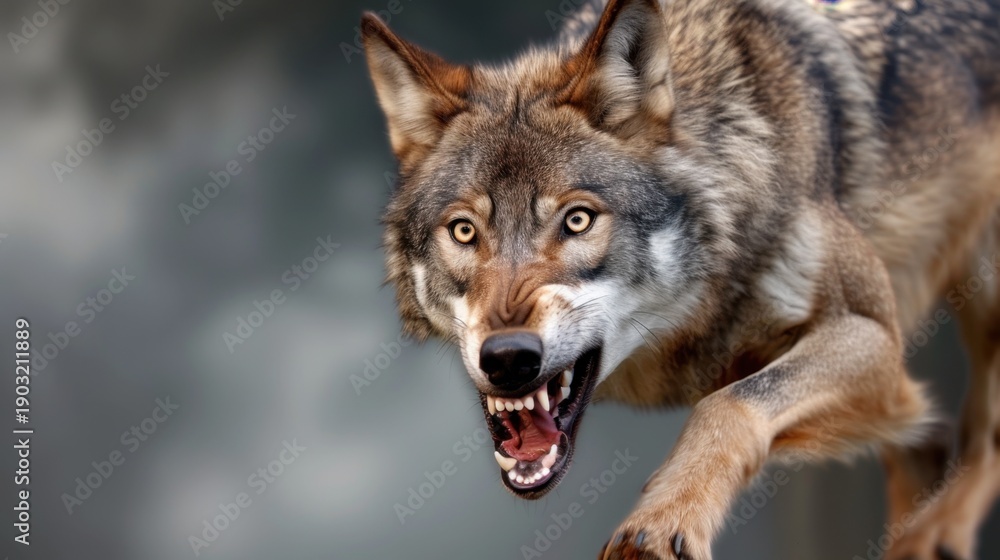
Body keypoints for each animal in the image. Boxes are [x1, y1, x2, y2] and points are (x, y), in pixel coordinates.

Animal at [361, 0, 1000, 557]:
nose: (508, 357)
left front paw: (663, 522)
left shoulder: (871, 332)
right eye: (464, 231)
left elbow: (727, 405)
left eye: (577, 219)